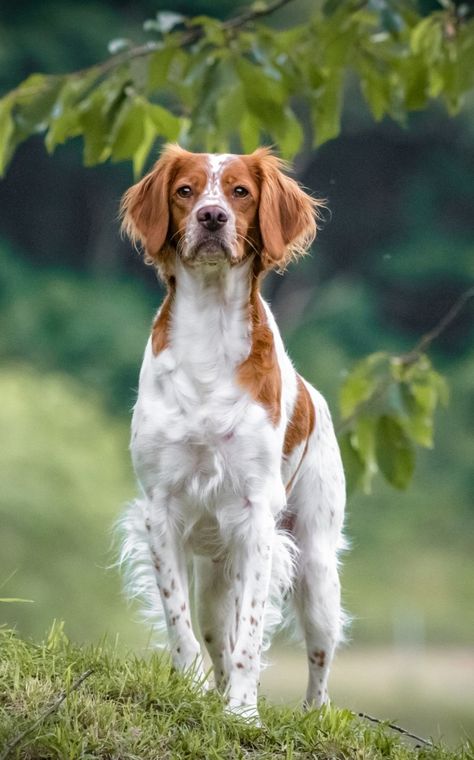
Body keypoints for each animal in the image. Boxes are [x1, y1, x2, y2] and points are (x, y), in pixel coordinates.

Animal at [120, 147, 346, 720]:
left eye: (240, 191)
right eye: (185, 190)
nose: (212, 217)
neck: (210, 330)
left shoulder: (256, 515)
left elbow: (250, 633)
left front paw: (243, 713)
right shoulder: (161, 510)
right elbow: (179, 624)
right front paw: (193, 691)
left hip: (316, 568)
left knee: (320, 657)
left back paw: (311, 713)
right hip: (215, 580)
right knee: (212, 633)